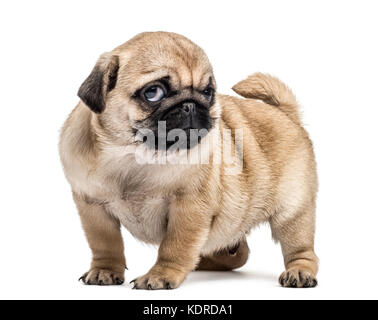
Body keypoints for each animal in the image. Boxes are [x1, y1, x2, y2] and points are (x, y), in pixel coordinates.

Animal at [59, 31, 318, 288]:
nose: (191, 105)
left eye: (207, 92)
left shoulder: (189, 209)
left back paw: (299, 271)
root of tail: (286, 114)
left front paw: (161, 275)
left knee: (301, 248)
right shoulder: (94, 208)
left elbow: (174, 247)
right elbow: (105, 244)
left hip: (293, 211)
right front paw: (105, 269)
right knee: (237, 251)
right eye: (153, 92)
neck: (134, 158)